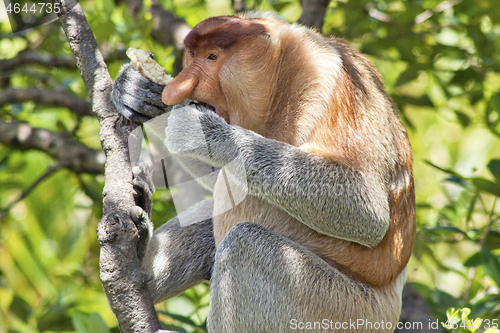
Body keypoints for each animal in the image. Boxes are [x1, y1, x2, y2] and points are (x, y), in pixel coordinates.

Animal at [111, 11, 416, 332]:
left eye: (212, 57)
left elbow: (367, 211)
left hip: (342, 309)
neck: (282, 78)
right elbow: (217, 175)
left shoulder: (329, 80)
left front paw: (203, 131)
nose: (177, 88)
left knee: (244, 243)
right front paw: (136, 90)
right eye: (192, 55)